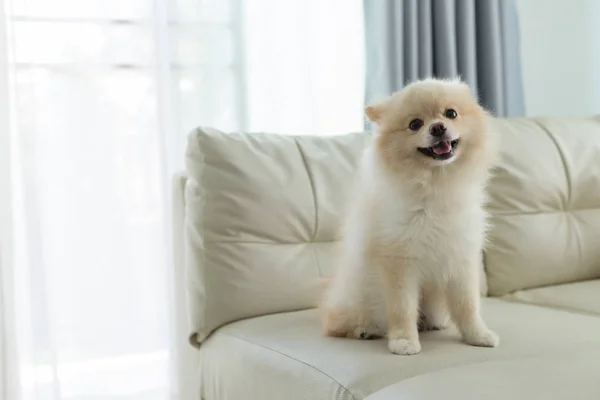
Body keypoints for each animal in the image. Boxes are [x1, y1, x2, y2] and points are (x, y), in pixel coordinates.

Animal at [322, 76, 500, 354]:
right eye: (415, 124)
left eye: (451, 113)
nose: (438, 128)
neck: (435, 186)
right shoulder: (399, 261)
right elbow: (402, 308)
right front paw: (404, 341)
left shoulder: (461, 258)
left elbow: (467, 305)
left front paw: (477, 335)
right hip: (356, 296)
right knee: (338, 324)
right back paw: (364, 330)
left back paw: (432, 324)